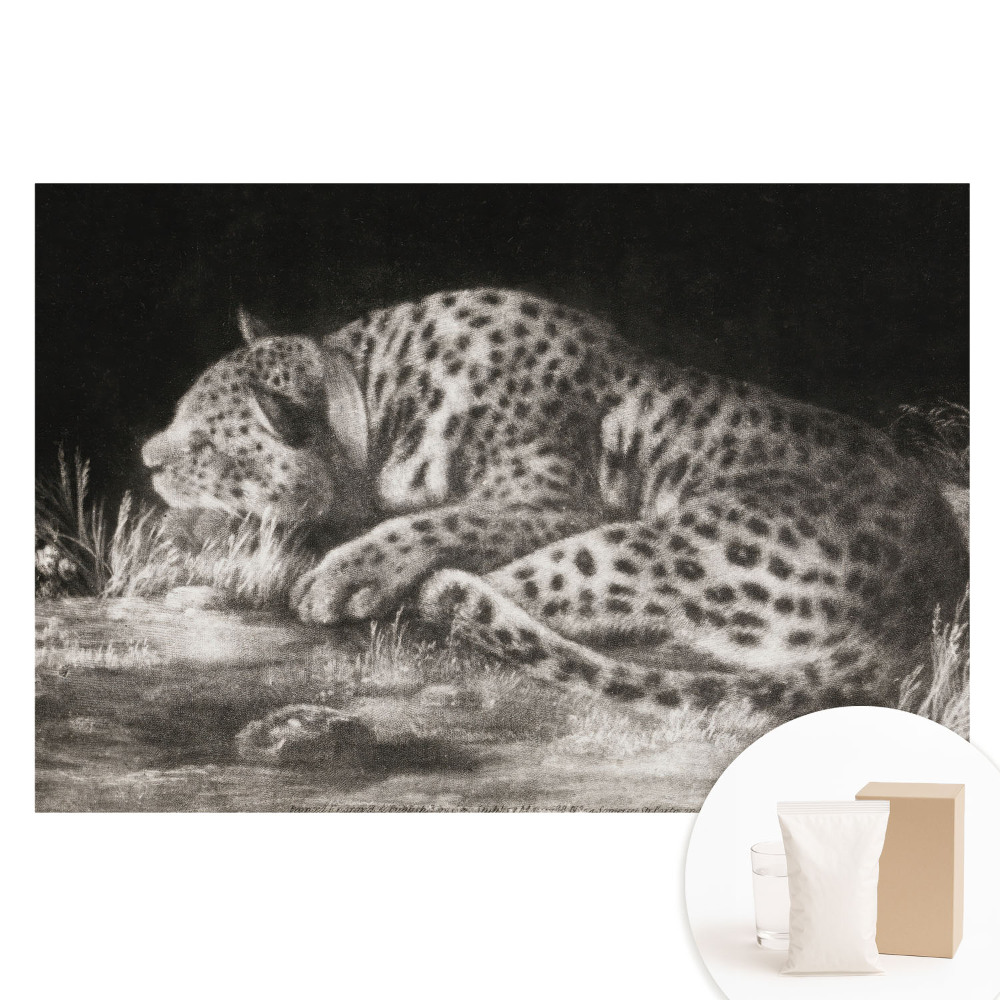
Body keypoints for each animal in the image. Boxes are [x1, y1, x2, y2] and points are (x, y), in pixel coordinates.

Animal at [142, 288, 968, 716]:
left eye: (204, 444)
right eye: (177, 412)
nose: (146, 458)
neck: (378, 394)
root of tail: (919, 610)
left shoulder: (556, 500)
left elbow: (444, 518)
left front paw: (344, 573)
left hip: (652, 541)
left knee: (496, 597)